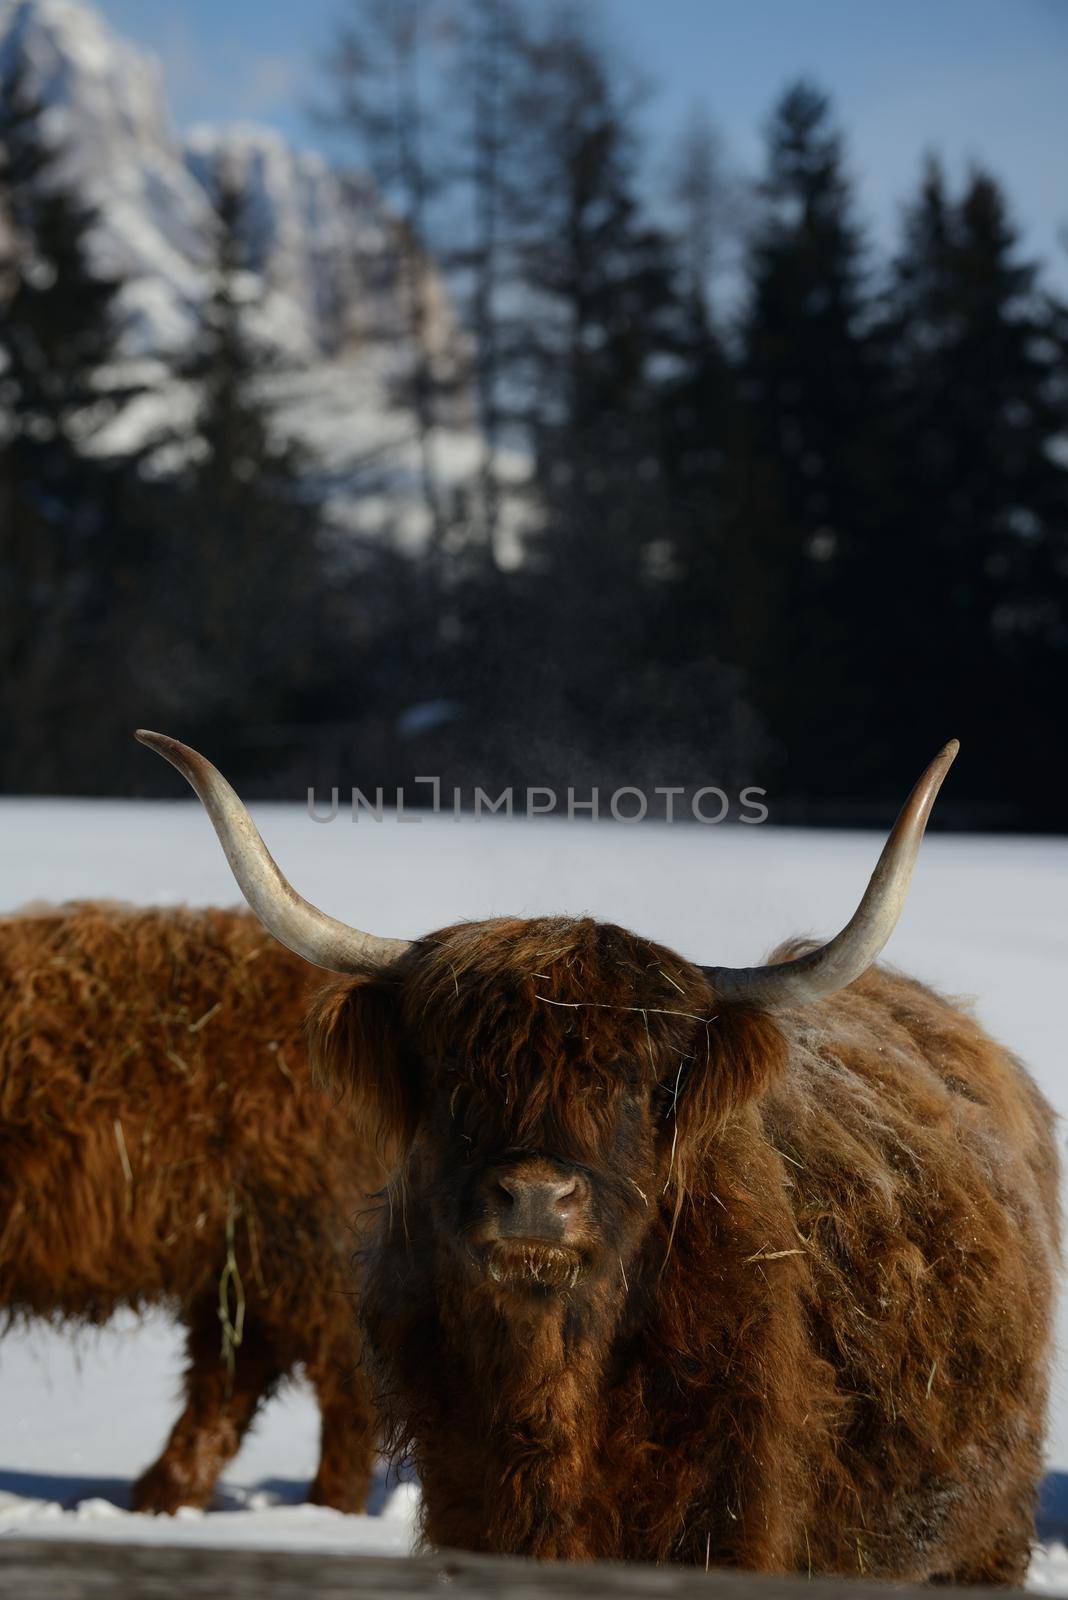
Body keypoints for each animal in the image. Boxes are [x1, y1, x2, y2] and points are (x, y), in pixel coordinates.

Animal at [0, 902, 383, 1510]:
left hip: (308, 1237)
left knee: (340, 1374)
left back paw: (327, 1509)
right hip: (239, 1253)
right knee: (232, 1368)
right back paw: (162, 1496)